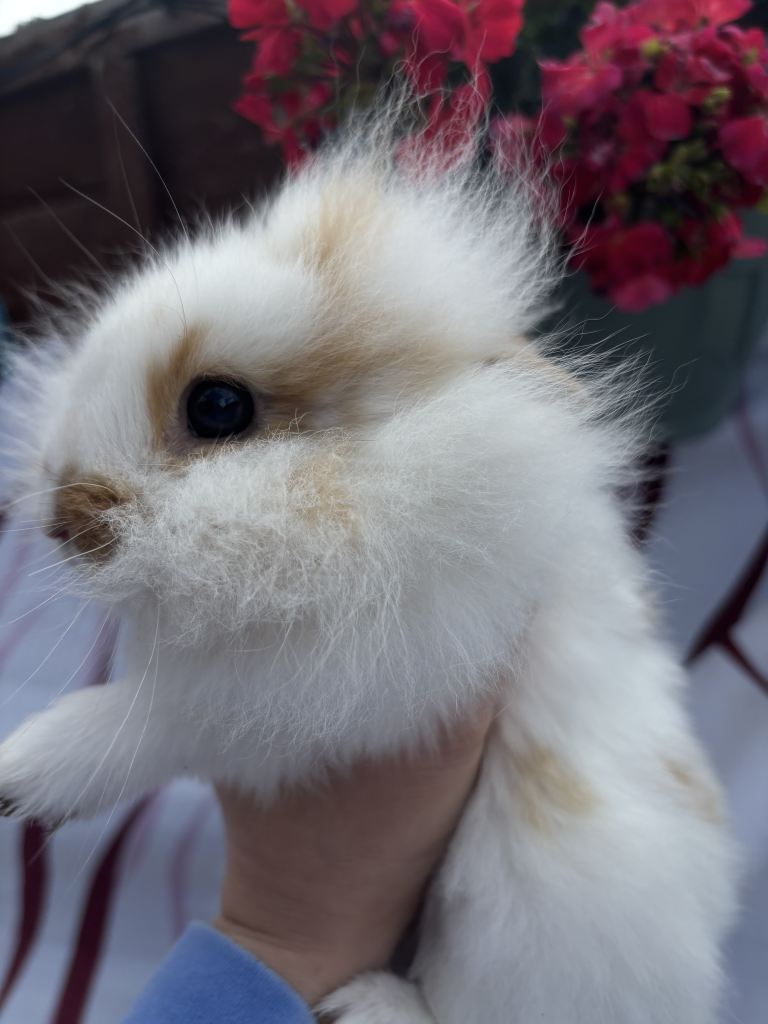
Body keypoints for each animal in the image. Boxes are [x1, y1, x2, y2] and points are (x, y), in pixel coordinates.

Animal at [0, 110, 737, 1024]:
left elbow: (165, 717)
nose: (57, 519)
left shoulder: (334, 697)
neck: (374, 494)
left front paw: (23, 769)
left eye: (217, 406)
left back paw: (366, 1003)